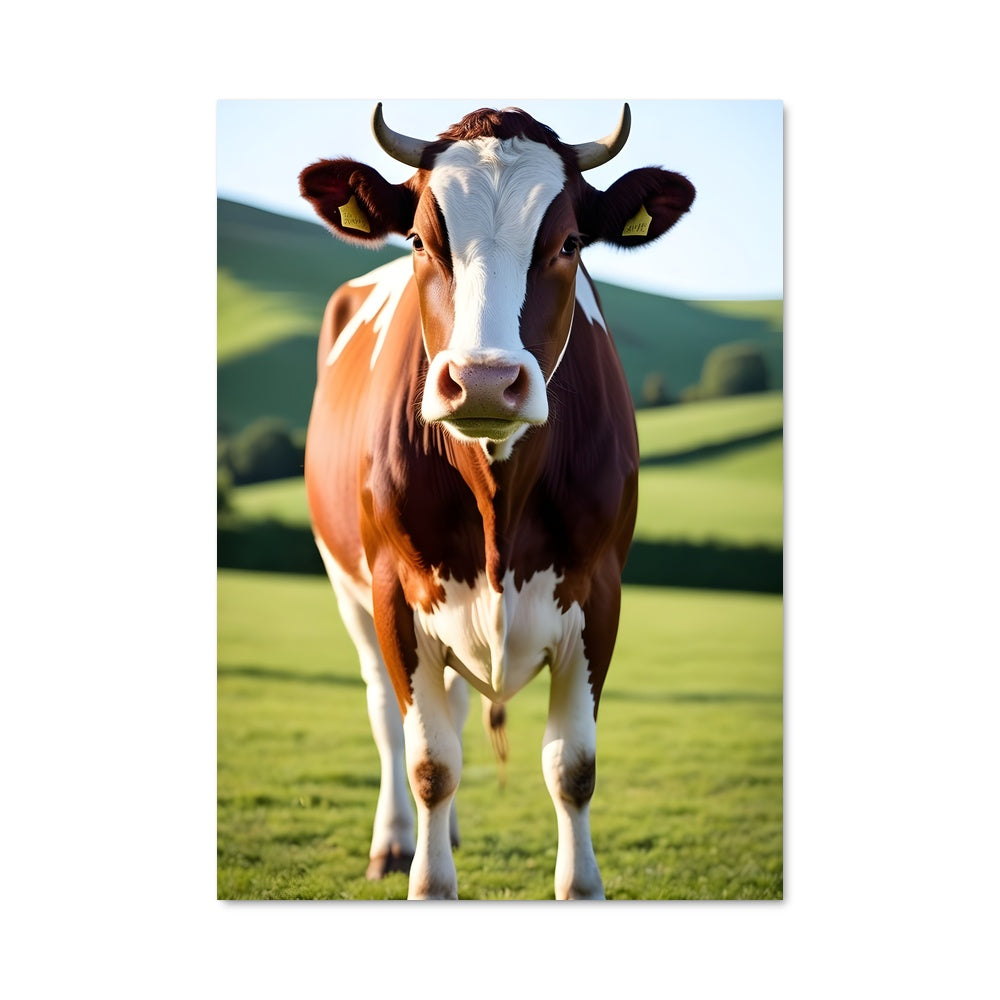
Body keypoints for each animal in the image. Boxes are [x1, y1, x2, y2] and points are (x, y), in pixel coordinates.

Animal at [299, 103, 694, 899]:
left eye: (569, 242)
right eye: (421, 240)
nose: (483, 381)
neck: (497, 505)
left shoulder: (600, 591)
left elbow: (572, 766)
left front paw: (582, 886)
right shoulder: (395, 591)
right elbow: (429, 762)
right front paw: (428, 881)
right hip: (348, 587)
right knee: (389, 716)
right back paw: (397, 843)